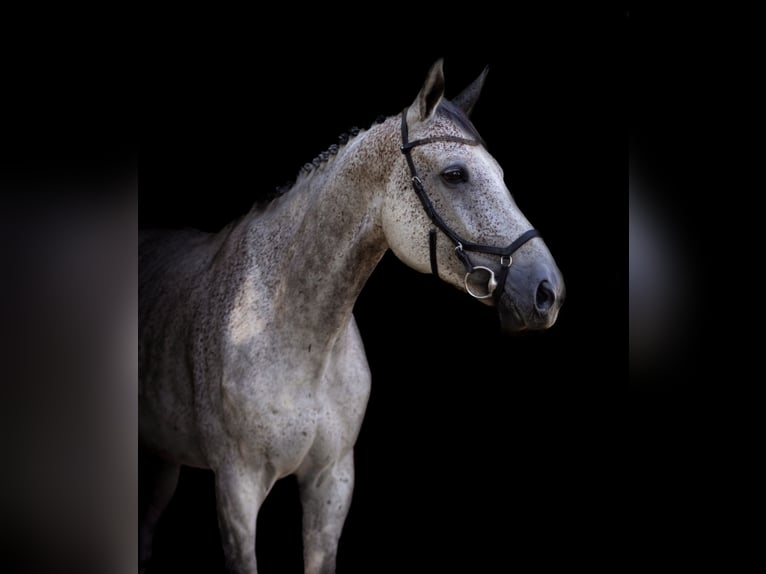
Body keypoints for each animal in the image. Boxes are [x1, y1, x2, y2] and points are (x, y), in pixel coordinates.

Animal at [138, 60, 564, 572]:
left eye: (501, 173)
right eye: (455, 174)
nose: (547, 292)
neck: (296, 334)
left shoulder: (332, 483)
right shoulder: (236, 488)